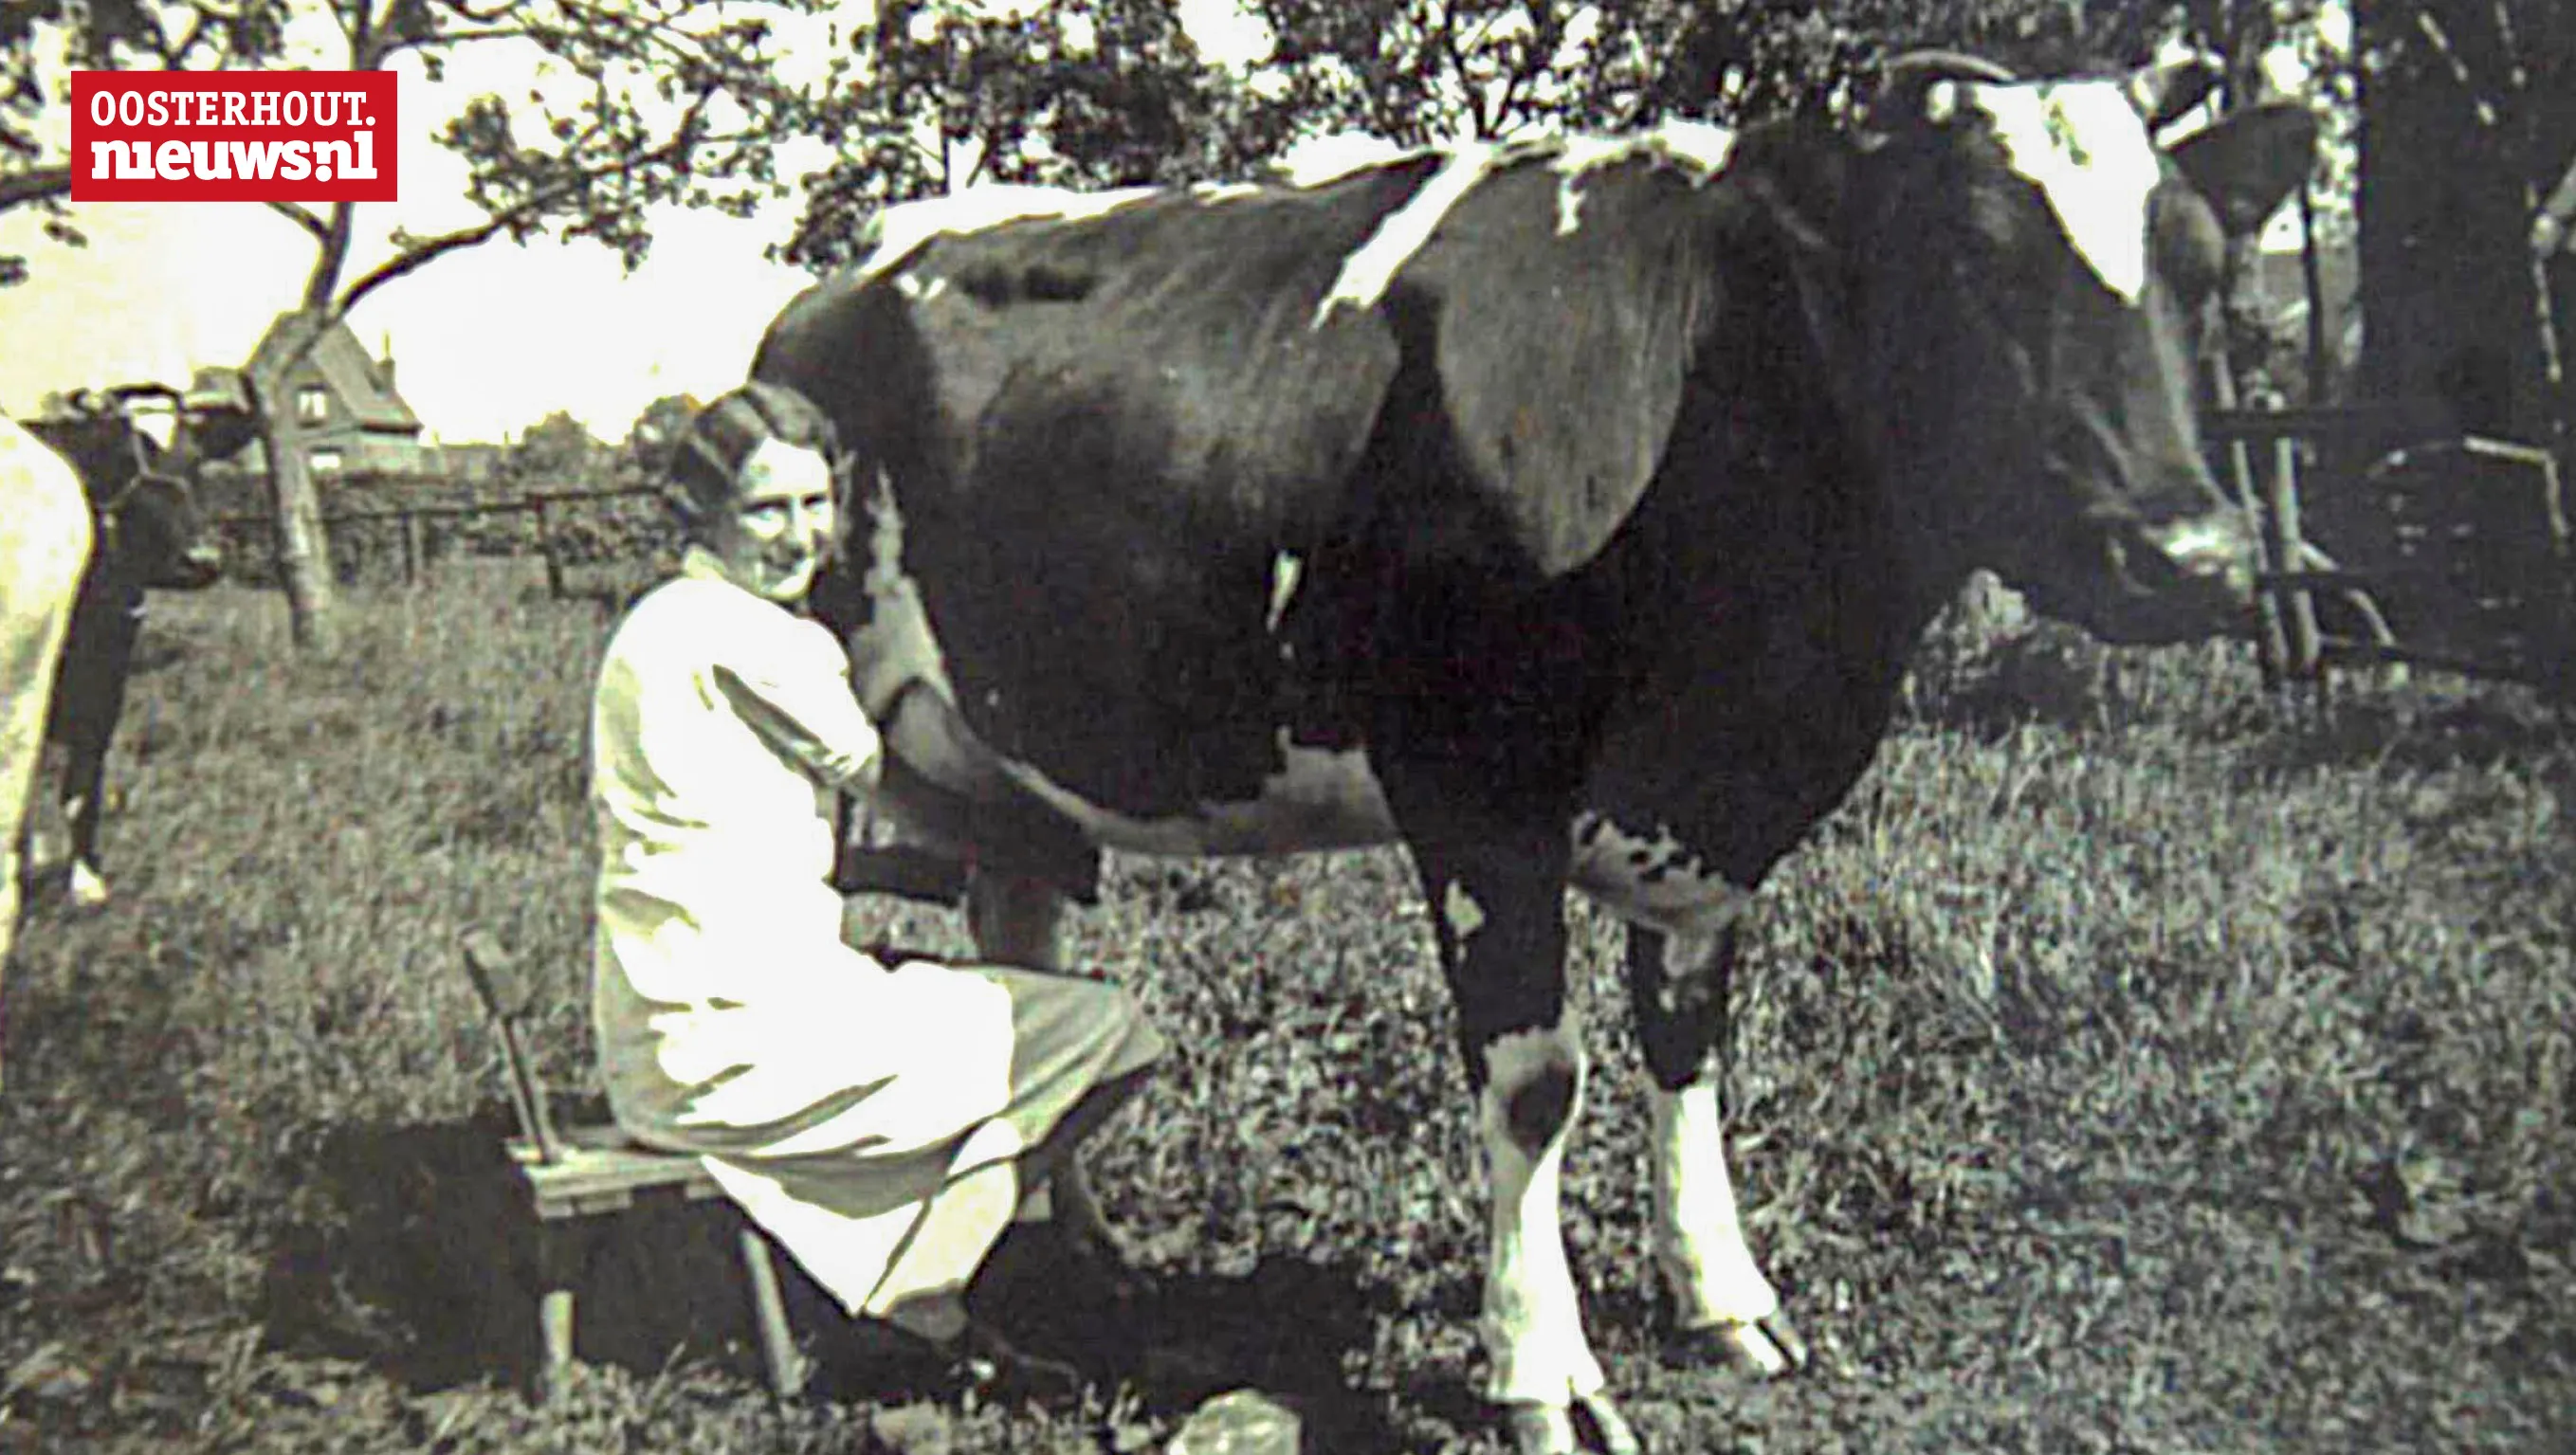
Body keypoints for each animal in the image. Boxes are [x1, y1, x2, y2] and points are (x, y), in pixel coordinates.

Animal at [17, 386, 242, 911]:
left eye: (197, 461)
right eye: (119, 460)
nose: (202, 559)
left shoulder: (107, 678)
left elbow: (83, 785)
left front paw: (87, 879)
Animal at [751, 53, 2316, 1454]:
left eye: (2200, 270)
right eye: (1974, 260)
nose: (2190, 554)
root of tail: (835, 279)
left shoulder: (1719, 813)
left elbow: (1686, 1044)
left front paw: (1723, 1297)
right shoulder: (1475, 793)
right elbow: (1534, 1080)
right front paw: (1541, 1370)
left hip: (1005, 765)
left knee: (1020, 947)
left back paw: (1076, 1239)